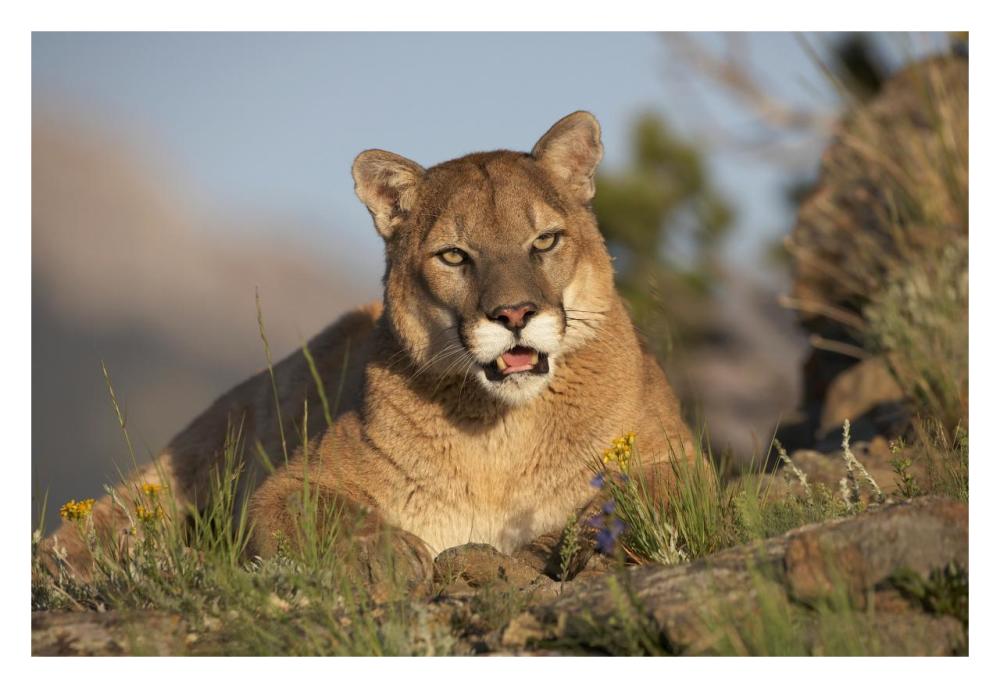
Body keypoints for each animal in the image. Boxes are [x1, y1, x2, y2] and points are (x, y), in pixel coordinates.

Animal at [40, 111, 695, 589]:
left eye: (545, 241)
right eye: (454, 255)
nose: (513, 315)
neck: (503, 436)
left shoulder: (680, 458)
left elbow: (649, 493)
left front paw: (580, 540)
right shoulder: (288, 485)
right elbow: (324, 514)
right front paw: (388, 551)